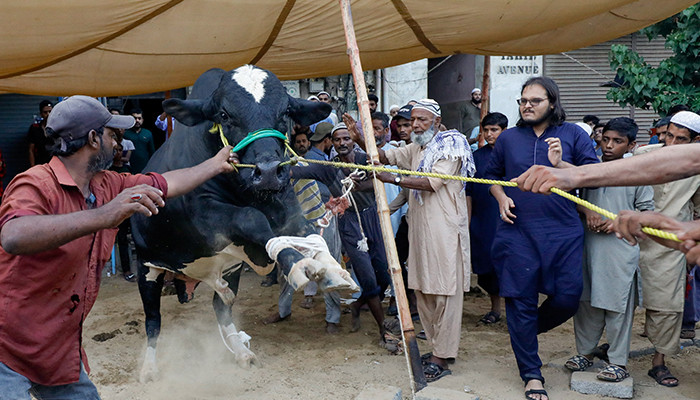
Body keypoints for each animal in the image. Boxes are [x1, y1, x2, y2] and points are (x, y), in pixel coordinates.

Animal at [131, 65, 358, 382]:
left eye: (286, 112)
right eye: (224, 115)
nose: (268, 171)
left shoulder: (286, 205)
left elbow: (309, 232)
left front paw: (331, 269)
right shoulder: (203, 215)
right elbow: (250, 217)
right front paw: (298, 263)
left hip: (229, 270)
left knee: (222, 306)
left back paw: (240, 351)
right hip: (148, 268)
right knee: (153, 321)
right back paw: (150, 368)